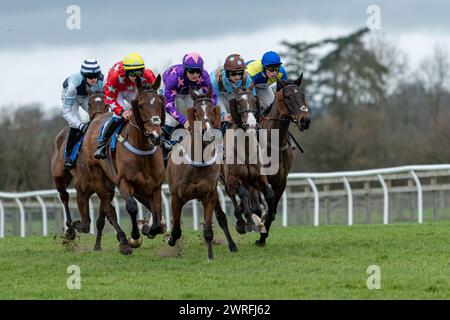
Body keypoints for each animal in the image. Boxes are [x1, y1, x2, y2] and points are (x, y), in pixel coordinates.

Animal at [79, 75, 167, 255]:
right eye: (140, 105)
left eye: (160, 103)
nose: (156, 136)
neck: (142, 150)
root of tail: (96, 119)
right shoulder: (123, 181)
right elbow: (132, 207)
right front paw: (134, 237)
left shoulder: (155, 185)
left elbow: (157, 215)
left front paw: (148, 228)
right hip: (98, 177)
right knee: (108, 209)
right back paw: (123, 241)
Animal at [166, 88, 237, 260]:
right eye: (196, 110)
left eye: (212, 109)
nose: (206, 131)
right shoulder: (176, 197)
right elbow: (176, 229)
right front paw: (170, 240)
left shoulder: (209, 195)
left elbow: (209, 231)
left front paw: (210, 257)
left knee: (222, 217)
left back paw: (232, 245)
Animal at [221, 87, 274, 235]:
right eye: (239, 102)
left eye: (254, 100)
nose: (251, 124)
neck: (245, 150)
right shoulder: (232, 179)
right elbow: (242, 194)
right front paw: (249, 222)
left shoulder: (259, 177)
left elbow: (269, 193)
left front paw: (268, 217)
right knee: (233, 196)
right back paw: (241, 221)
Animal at [255, 75, 312, 248]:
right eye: (287, 97)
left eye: (303, 95)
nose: (305, 120)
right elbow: (263, 201)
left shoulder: (281, 181)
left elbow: (272, 211)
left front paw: (262, 237)